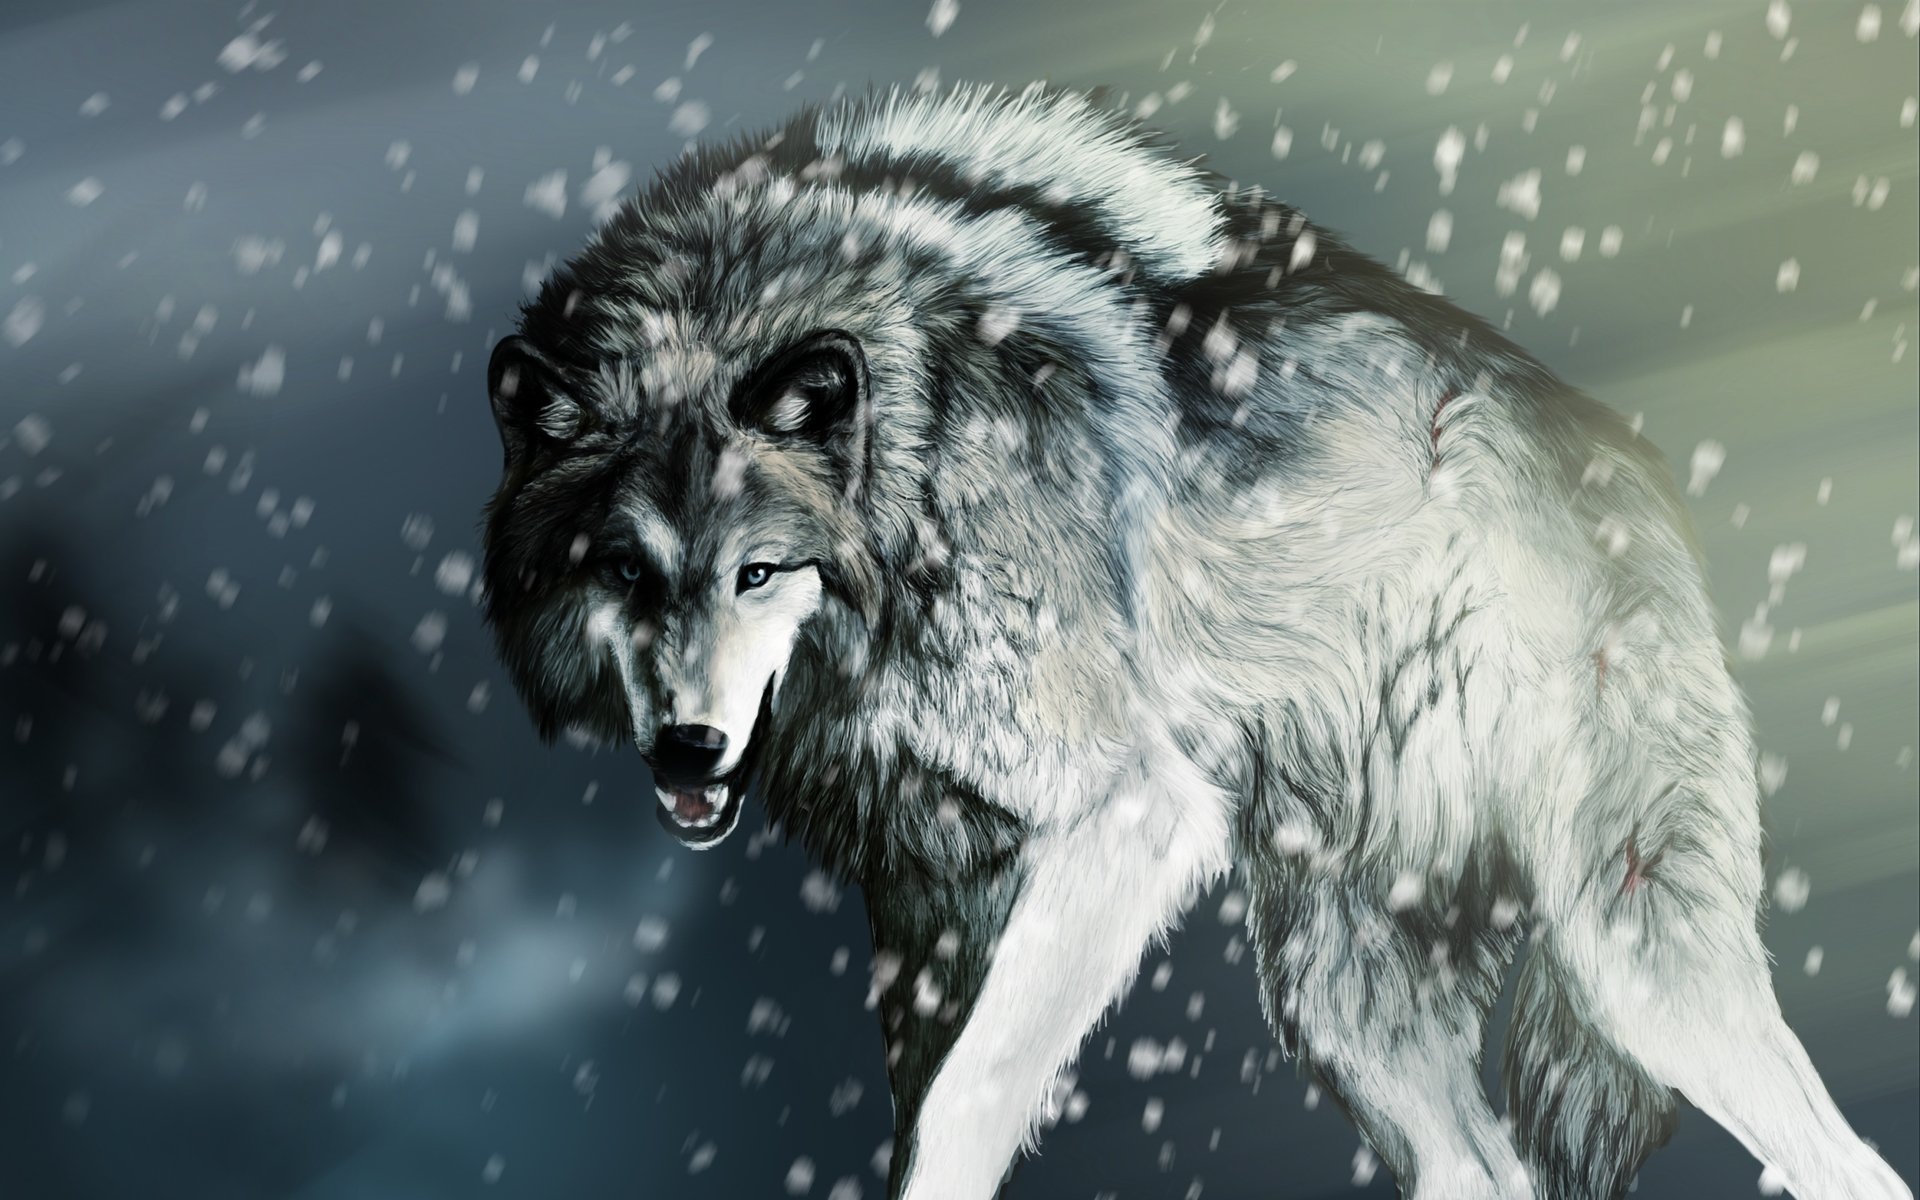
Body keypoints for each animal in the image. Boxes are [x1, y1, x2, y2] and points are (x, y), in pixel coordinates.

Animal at [477, 84, 1910, 1199]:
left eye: (759, 571)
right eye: (625, 571)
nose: (688, 746)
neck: (917, 468)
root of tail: (1636, 466)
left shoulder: (1129, 815)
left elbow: (970, 1101)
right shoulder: (928, 903)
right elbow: (923, 1112)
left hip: (1632, 961)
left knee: (1846, 1159)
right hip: (1342, 1000)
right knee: (1483, 1166)